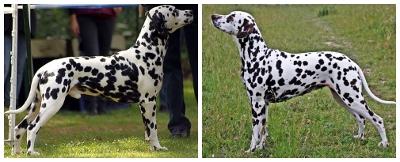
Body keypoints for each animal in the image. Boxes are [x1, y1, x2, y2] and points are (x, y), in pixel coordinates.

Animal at [5, 4, 194, 156]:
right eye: (174, 10)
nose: (191, 11)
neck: (146, 52)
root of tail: (44, 69)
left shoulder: (143, 105)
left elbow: (148, 131)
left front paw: (152, 148)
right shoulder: (149, 102)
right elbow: (153, 130)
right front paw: (158, 147)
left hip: (37, 105)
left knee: (19, 127)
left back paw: (17, 152)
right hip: (52, 104)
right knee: (32, 127)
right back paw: (31, 152)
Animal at [211, 11, 396, 152]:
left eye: (231, 17)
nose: (213, 16)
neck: (258, 56)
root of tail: (351, 62)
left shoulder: (257, 103)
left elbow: (255, 132)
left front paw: (250, 151)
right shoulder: (264, 105)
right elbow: (263, 131)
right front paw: (261, 149)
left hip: (352, 99)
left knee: (377, 119)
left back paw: (384, 143)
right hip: (343, 99)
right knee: (361, 119)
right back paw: (359, 138)